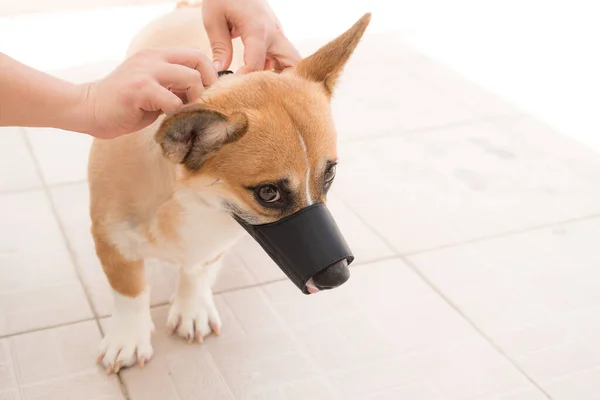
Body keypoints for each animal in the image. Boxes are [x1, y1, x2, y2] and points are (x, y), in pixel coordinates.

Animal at [88, 0, 370, 376]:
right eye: (268, 193)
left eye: (330, 174)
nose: (339, 277)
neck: (195, 201)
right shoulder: (112, 241)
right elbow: (130, 291)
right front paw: (128, 339)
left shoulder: (215, 244)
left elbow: (197, 271)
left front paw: (192, 309)